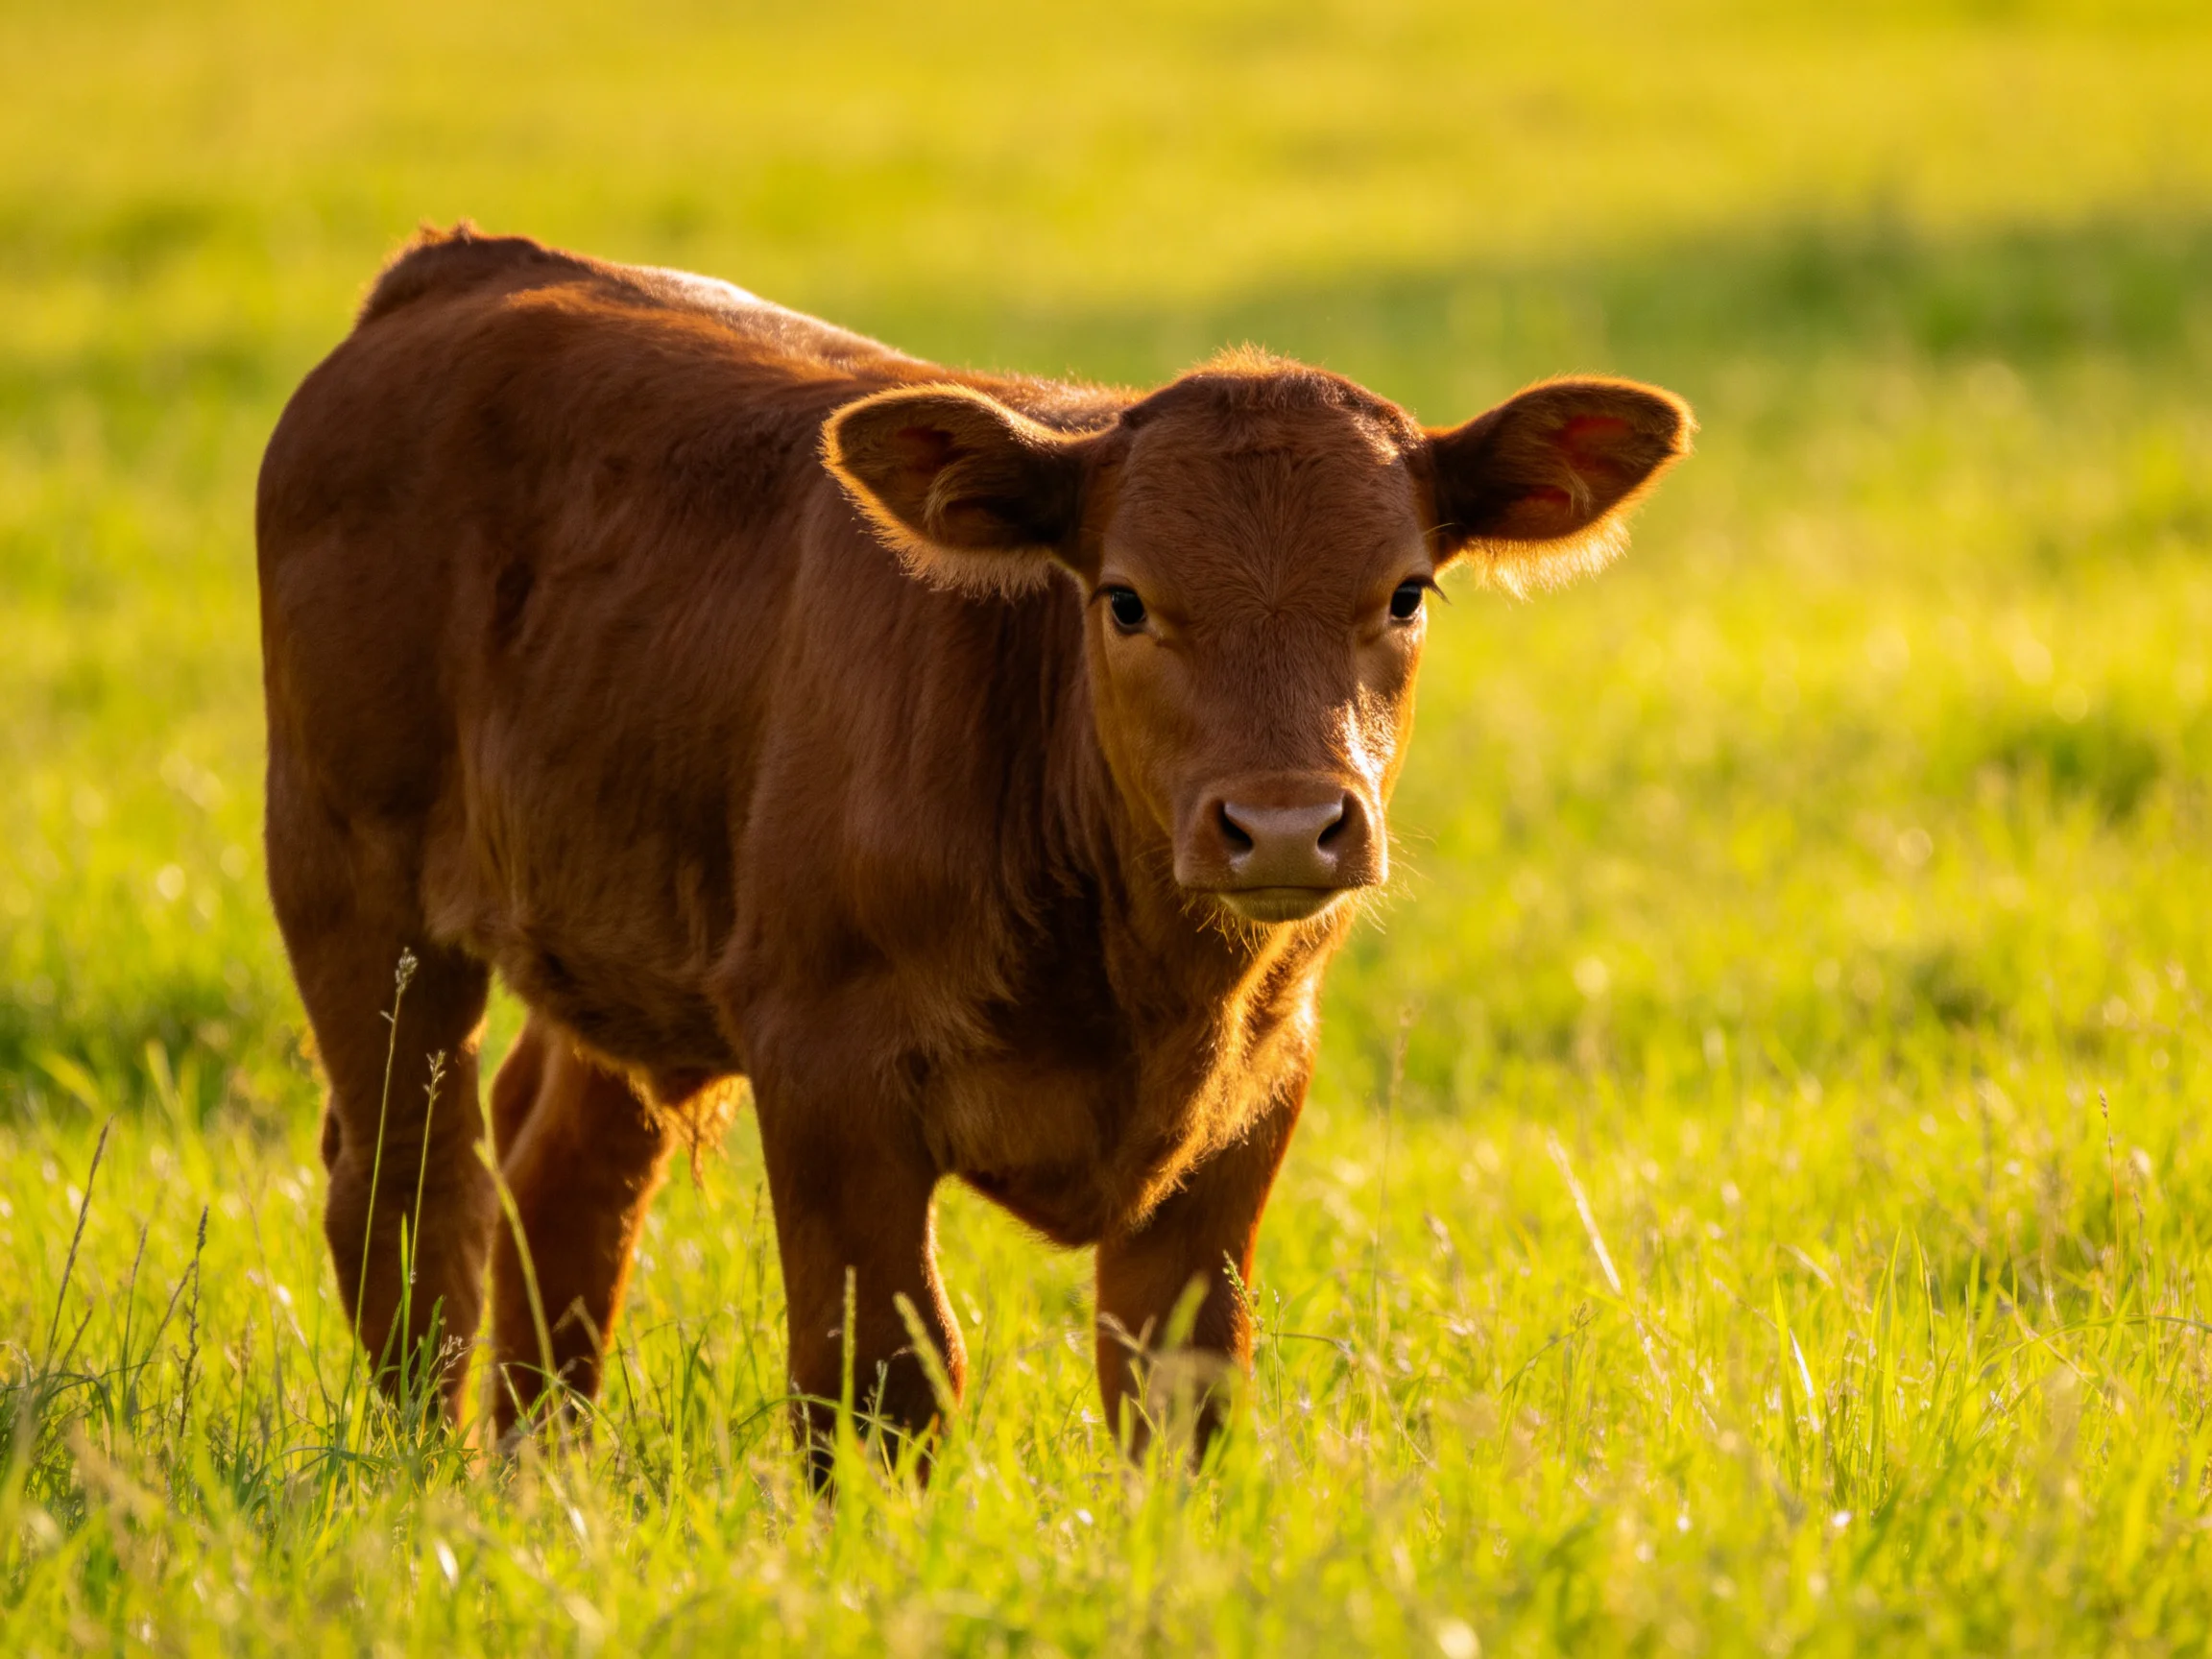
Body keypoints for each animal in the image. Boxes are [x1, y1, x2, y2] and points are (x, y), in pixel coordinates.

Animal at [257, 225, 1689, 1476]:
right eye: (1124, 599)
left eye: (1405, 592)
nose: (1286, 822)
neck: (1138, 984)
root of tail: (463, 266)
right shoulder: (824, 1058)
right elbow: (883, 1371)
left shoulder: (1259, 1081)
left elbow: (1181, 1378)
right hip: (351, 882)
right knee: (407, 1191)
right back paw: (431, 1475)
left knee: (562, 1173)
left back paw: (539, 1473)